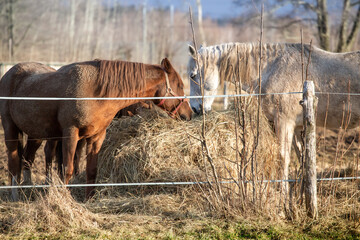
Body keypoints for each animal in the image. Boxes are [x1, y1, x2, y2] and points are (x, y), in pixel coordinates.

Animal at [0, 58, 191, 199]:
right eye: (180, 85)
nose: (189, 114)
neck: (95, 91)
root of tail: (10, 73)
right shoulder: (70, 134)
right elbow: (67, 169)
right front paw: (65, 199)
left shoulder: (96, 137)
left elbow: (92, 171)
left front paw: (89, 200)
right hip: (11, 129)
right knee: (14, 161)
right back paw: (15, 195)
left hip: (36, 134)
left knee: (27, 159)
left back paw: (27, 188)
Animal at [187, 41, 360, 189]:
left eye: (192, 75)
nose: (195, 108)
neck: (271, 70)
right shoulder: (298, 127)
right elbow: (303, 159)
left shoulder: (284, 123)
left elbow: (283, 158)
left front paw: (283, 196)